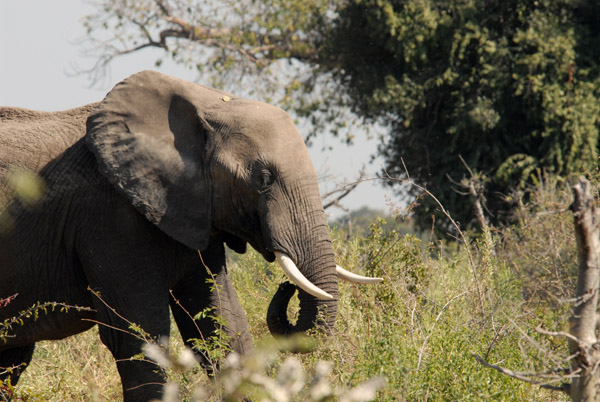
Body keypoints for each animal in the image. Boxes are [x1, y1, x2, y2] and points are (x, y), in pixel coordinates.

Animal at [0, 70, 380, 400]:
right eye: (263, 179)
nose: (285, 285)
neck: (208, 103)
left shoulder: (194, 210)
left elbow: (221, 323)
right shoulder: (108, 218)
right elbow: (138, 336)